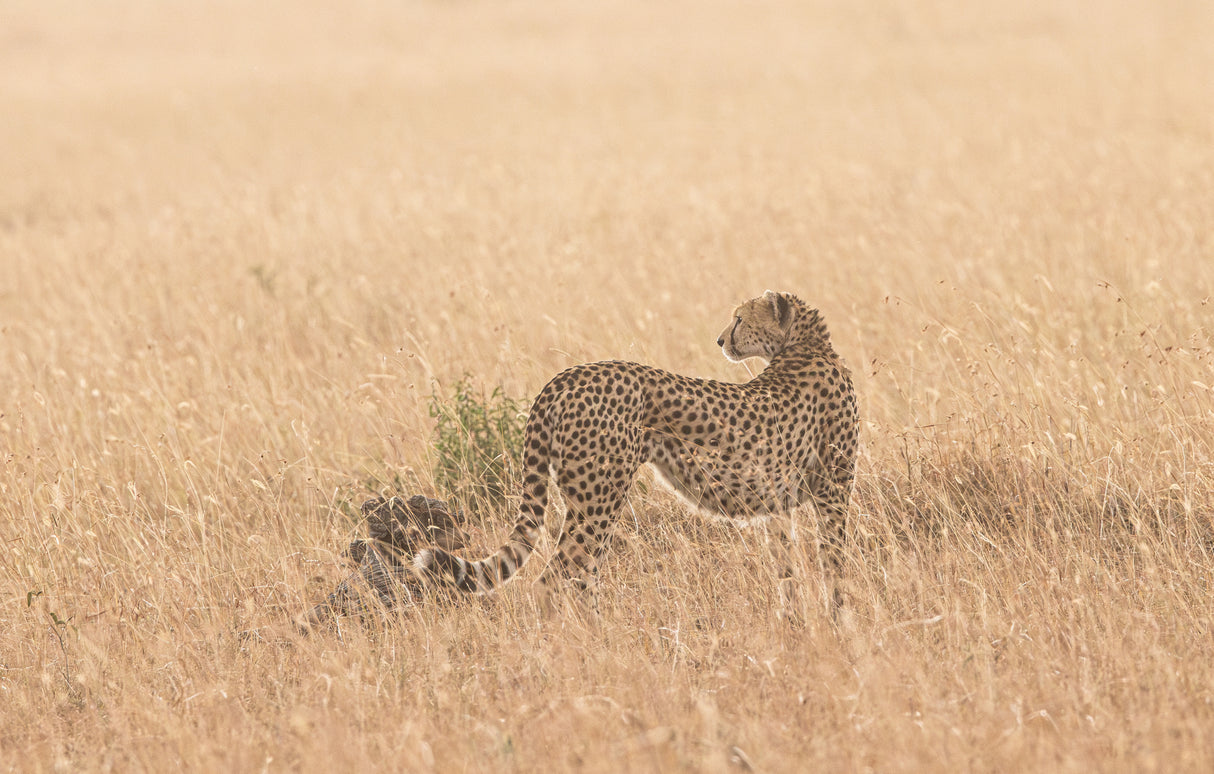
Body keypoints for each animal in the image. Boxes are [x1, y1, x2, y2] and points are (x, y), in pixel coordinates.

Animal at [413, 290, 859, 612]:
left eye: (739, 319)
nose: (720, 340)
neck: (805, 347)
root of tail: (566, 376)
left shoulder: (777, 504)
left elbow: (789, 570)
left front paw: (797, 622)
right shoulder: (833, 492)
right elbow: (835, 562)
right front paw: (840, 623)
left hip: (591, 502)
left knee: (581, 576)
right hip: (598, 500)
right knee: (553, 578)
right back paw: (578, 647)